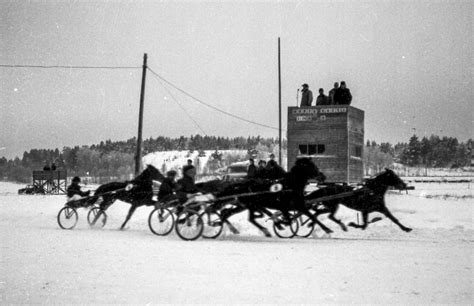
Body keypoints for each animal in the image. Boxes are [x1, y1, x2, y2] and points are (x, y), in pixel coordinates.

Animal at [205, 158, 334, 237]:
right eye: (310, 166)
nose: (322, 176)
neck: (290, 185)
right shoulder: (284, 206)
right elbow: (288, 219)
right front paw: (281, 224)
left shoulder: (298, 206)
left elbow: (311, 216)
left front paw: (326, 229)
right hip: (250, 205)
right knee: (248, 218)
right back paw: (265, 231)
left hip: (244, 205)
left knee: (227, 213)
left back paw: (229, 227)